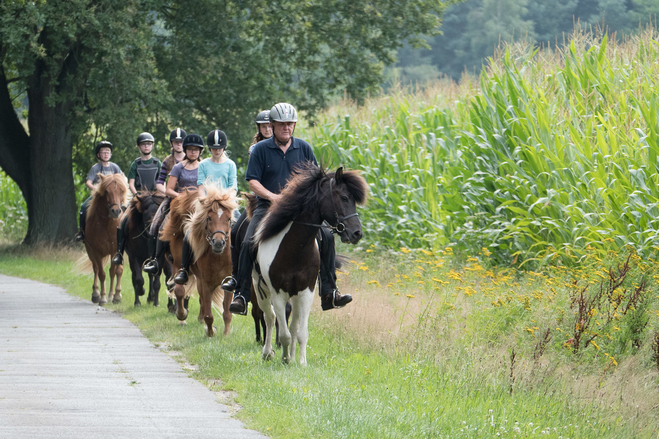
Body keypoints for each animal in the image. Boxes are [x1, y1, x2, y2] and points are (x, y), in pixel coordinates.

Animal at [83, 173, 128, 306]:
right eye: (107, 191)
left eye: (122, 190)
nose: (116, 211)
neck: (107, 224)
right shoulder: (96, 251)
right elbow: (101, 274)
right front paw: (102, 298)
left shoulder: (115, 250)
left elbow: (115, 271)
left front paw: (116, 296)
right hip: (90, 251)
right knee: (96, 269)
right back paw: (96, 294)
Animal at [162, 185, 238, 336]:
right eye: (209, 218)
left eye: (228, 218)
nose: (218, 243)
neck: (218, 257)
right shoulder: (205, 281)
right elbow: (207, 312)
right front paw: (210, 332)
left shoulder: (227, 282)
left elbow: (227, 312)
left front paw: (226, 334)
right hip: (182, 268)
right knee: (182, 292)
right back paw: (183, 317)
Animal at [253, 165, 368, 364]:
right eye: (344, 198)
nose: (357, 233)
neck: (295, 250)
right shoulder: (277, 293)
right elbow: (283, 333)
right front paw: (284, 358)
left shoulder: (306, 292)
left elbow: (300, 332)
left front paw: (300, 362)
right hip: (261, 290)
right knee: (269, 317)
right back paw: (268, 353)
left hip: (295, 295)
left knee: (291, 324)